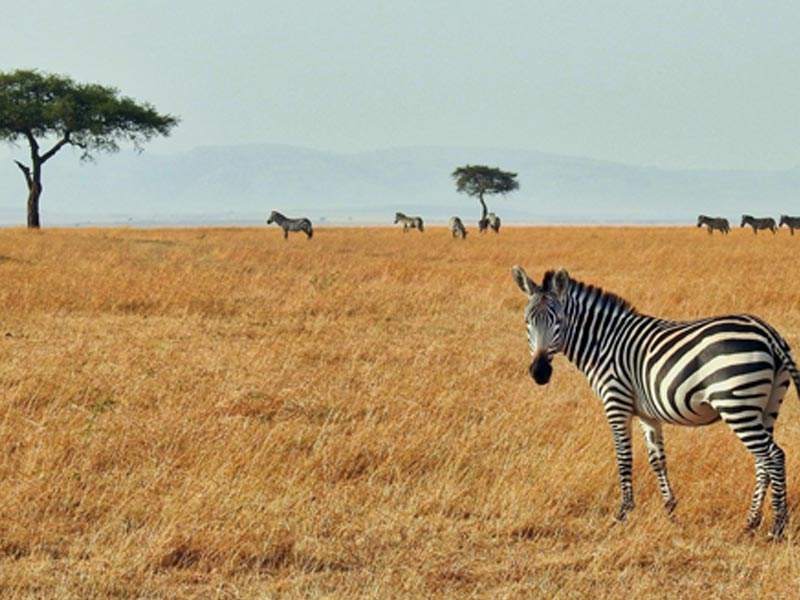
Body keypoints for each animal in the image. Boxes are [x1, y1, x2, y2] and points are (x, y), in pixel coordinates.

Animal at [511, 265, 800, 538]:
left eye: (558, 321)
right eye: (527, 322)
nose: (539, 373)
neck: (602, 342)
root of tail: (767, 331)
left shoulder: (616, 401)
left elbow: (624, 457)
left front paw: (623, 513)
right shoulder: (647, 413)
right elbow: (657, 459)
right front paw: (670, 511)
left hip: (736, 403)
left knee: (774, 455)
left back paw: (777, 527)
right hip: (767, 406)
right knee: (762, 461)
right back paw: (750, 523)